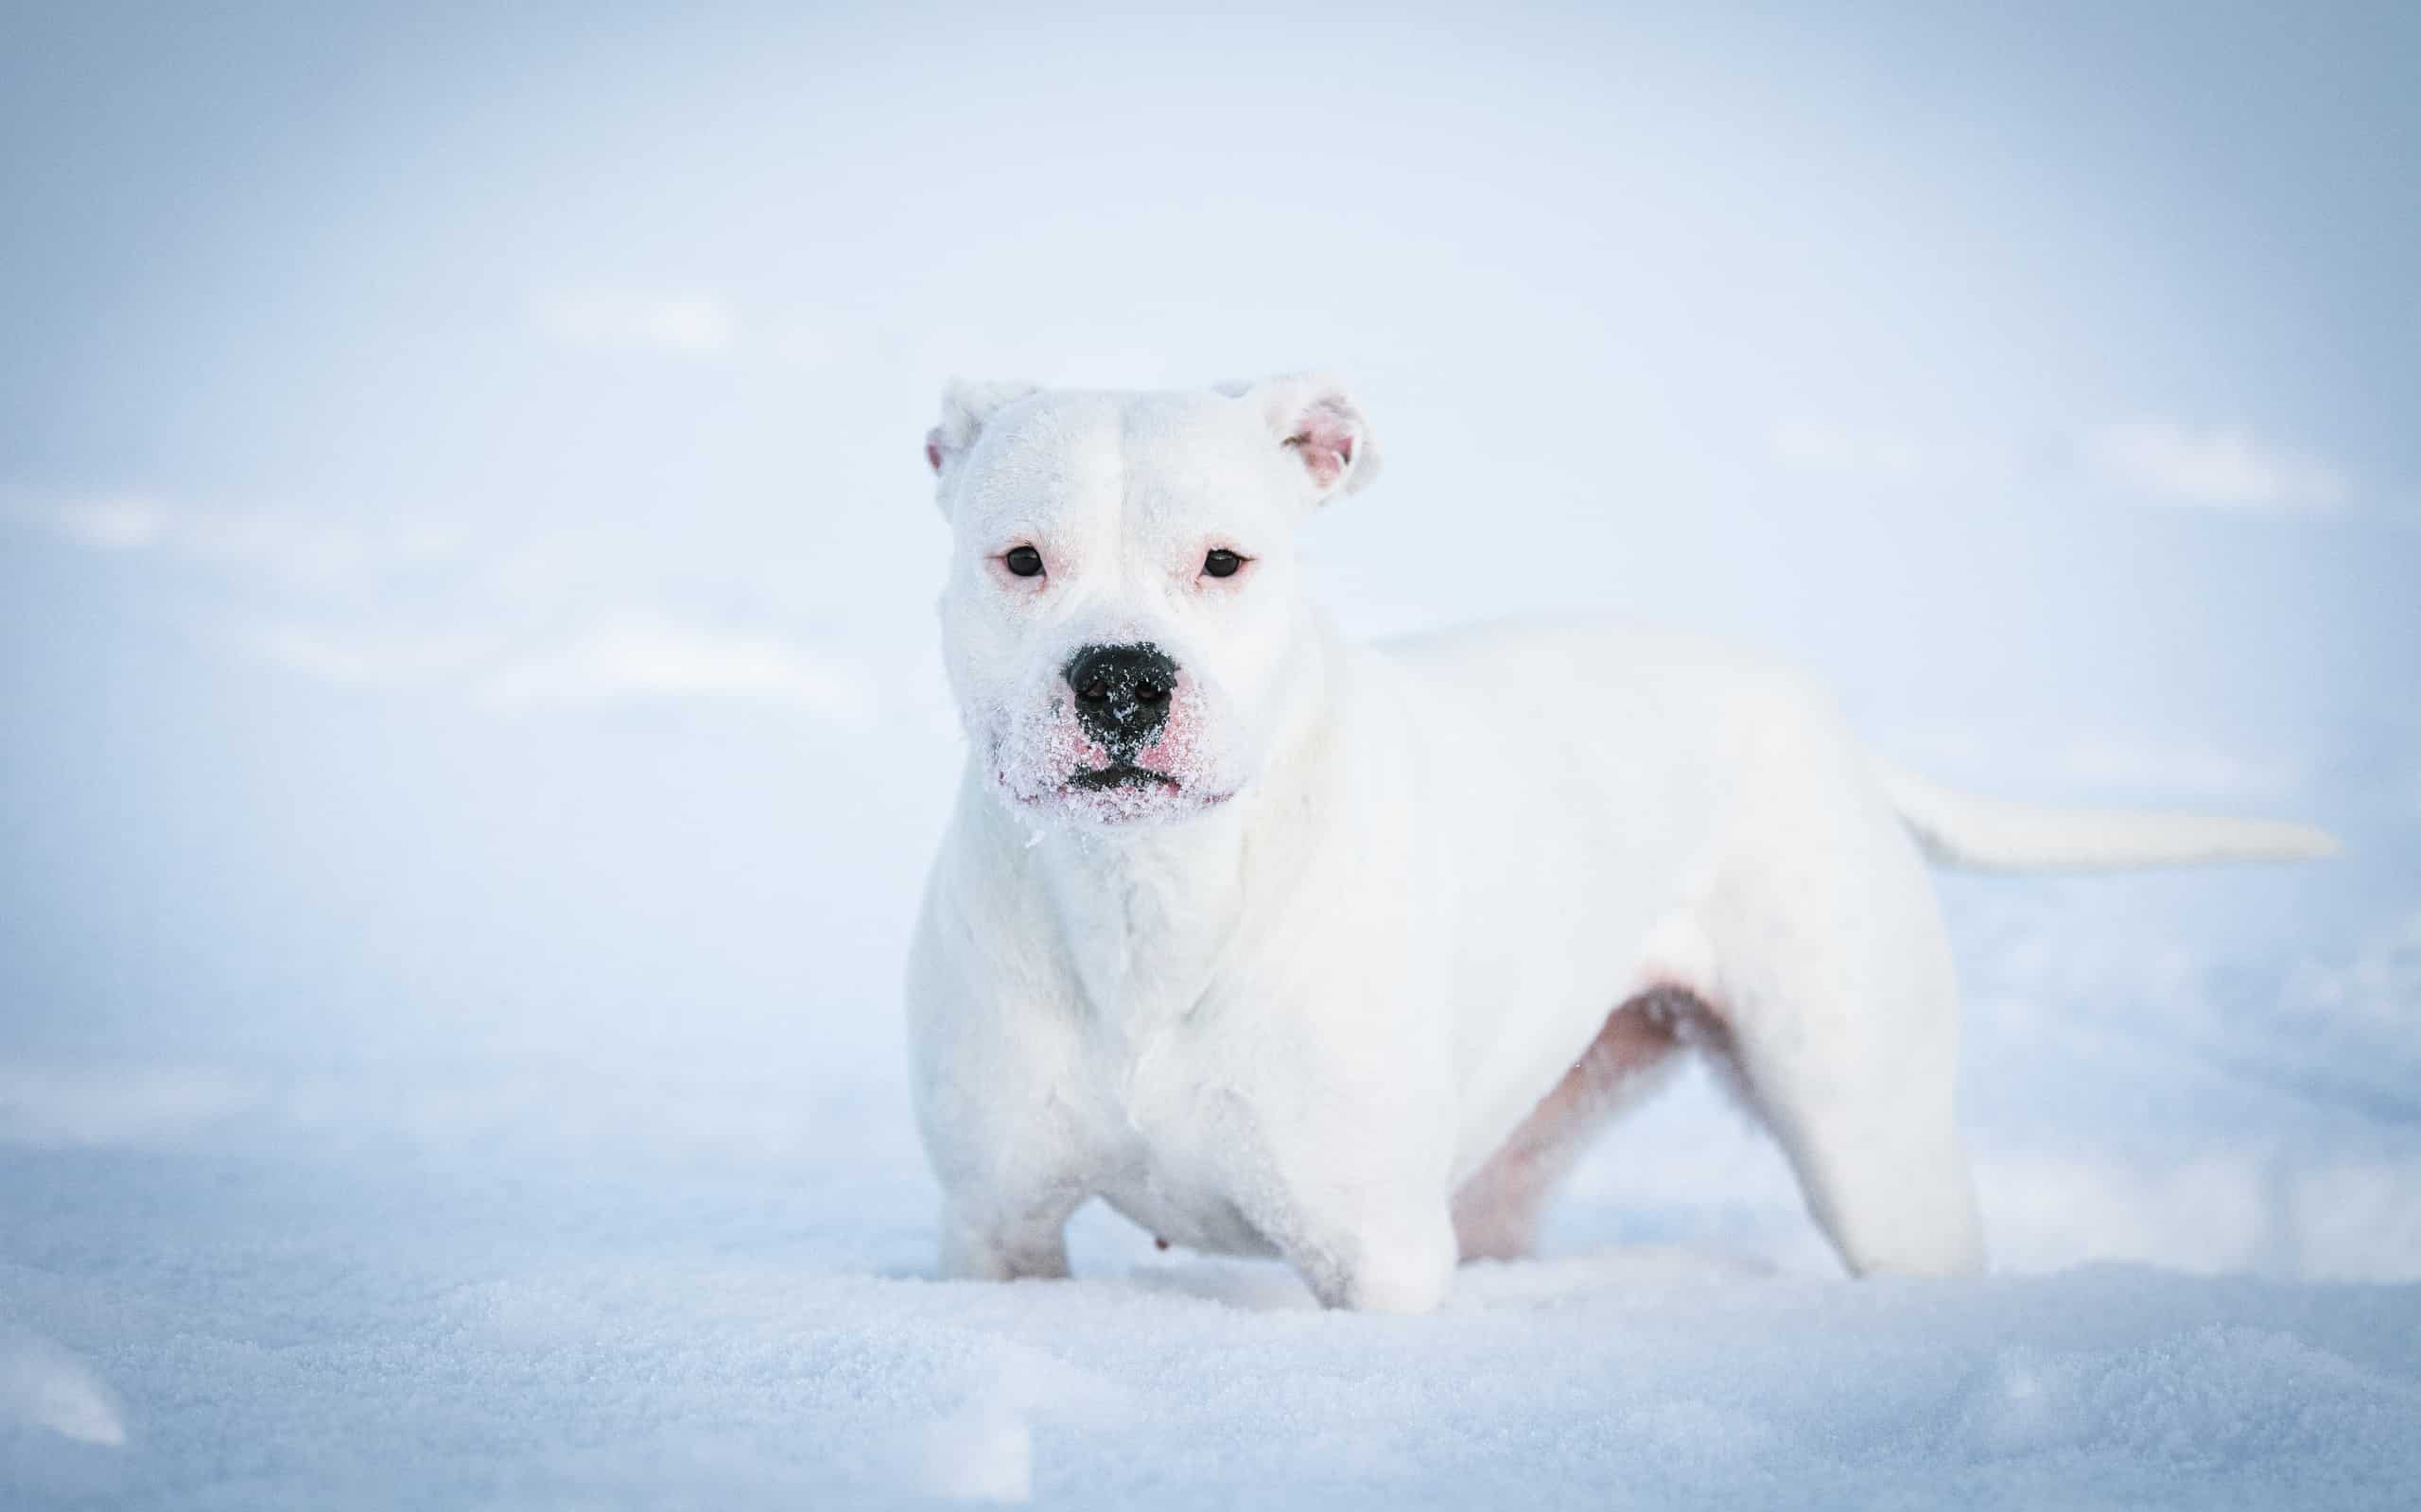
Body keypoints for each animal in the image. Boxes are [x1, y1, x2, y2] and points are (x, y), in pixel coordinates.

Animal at [905, 377, 2324, 1306]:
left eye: (1224, 561)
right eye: (1020, 559)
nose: (1122, 680)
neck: (1147, 895)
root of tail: (1821, 716)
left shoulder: (1375, 1255)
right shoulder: (996, 1233)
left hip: (1873, 1142)